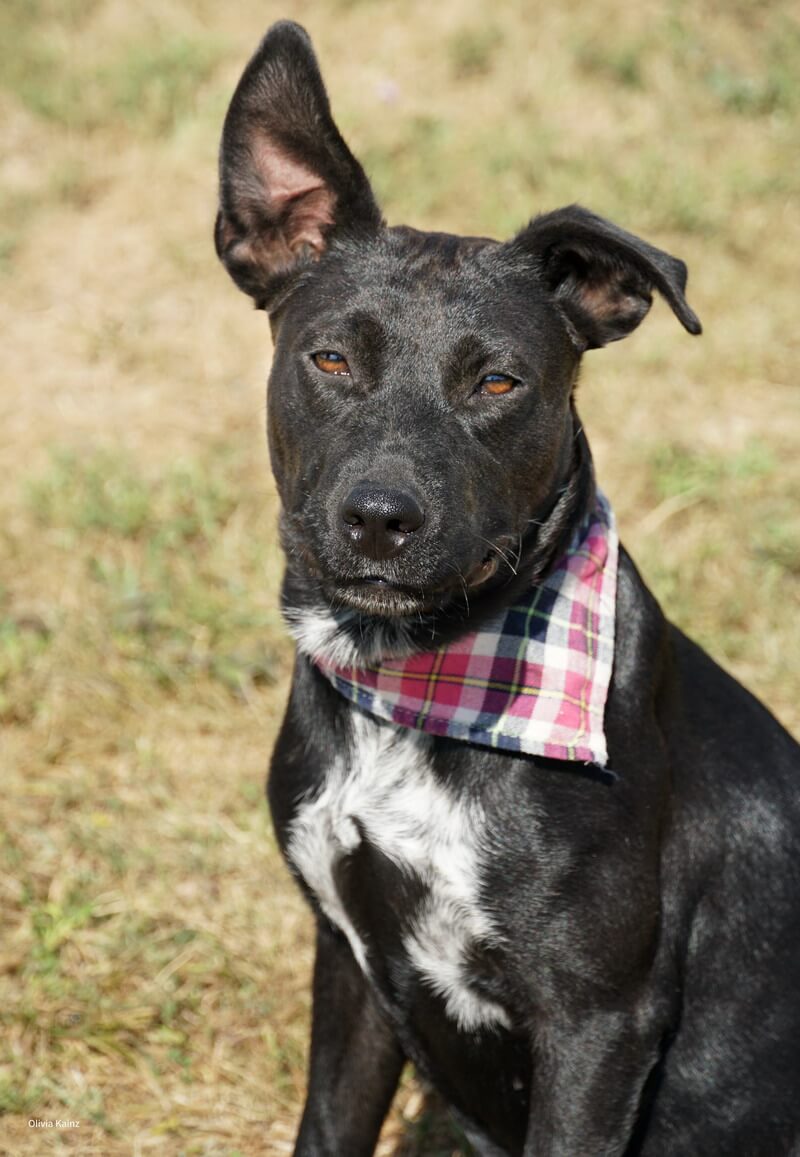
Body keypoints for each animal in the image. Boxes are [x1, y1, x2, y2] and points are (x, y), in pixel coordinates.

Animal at [215, 22, 800, 1156]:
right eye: (331, 359)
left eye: (498, 382)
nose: (380, 517)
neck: (412, 688)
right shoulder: (350, 962)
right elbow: (327, 1127)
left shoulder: (595, 1021)